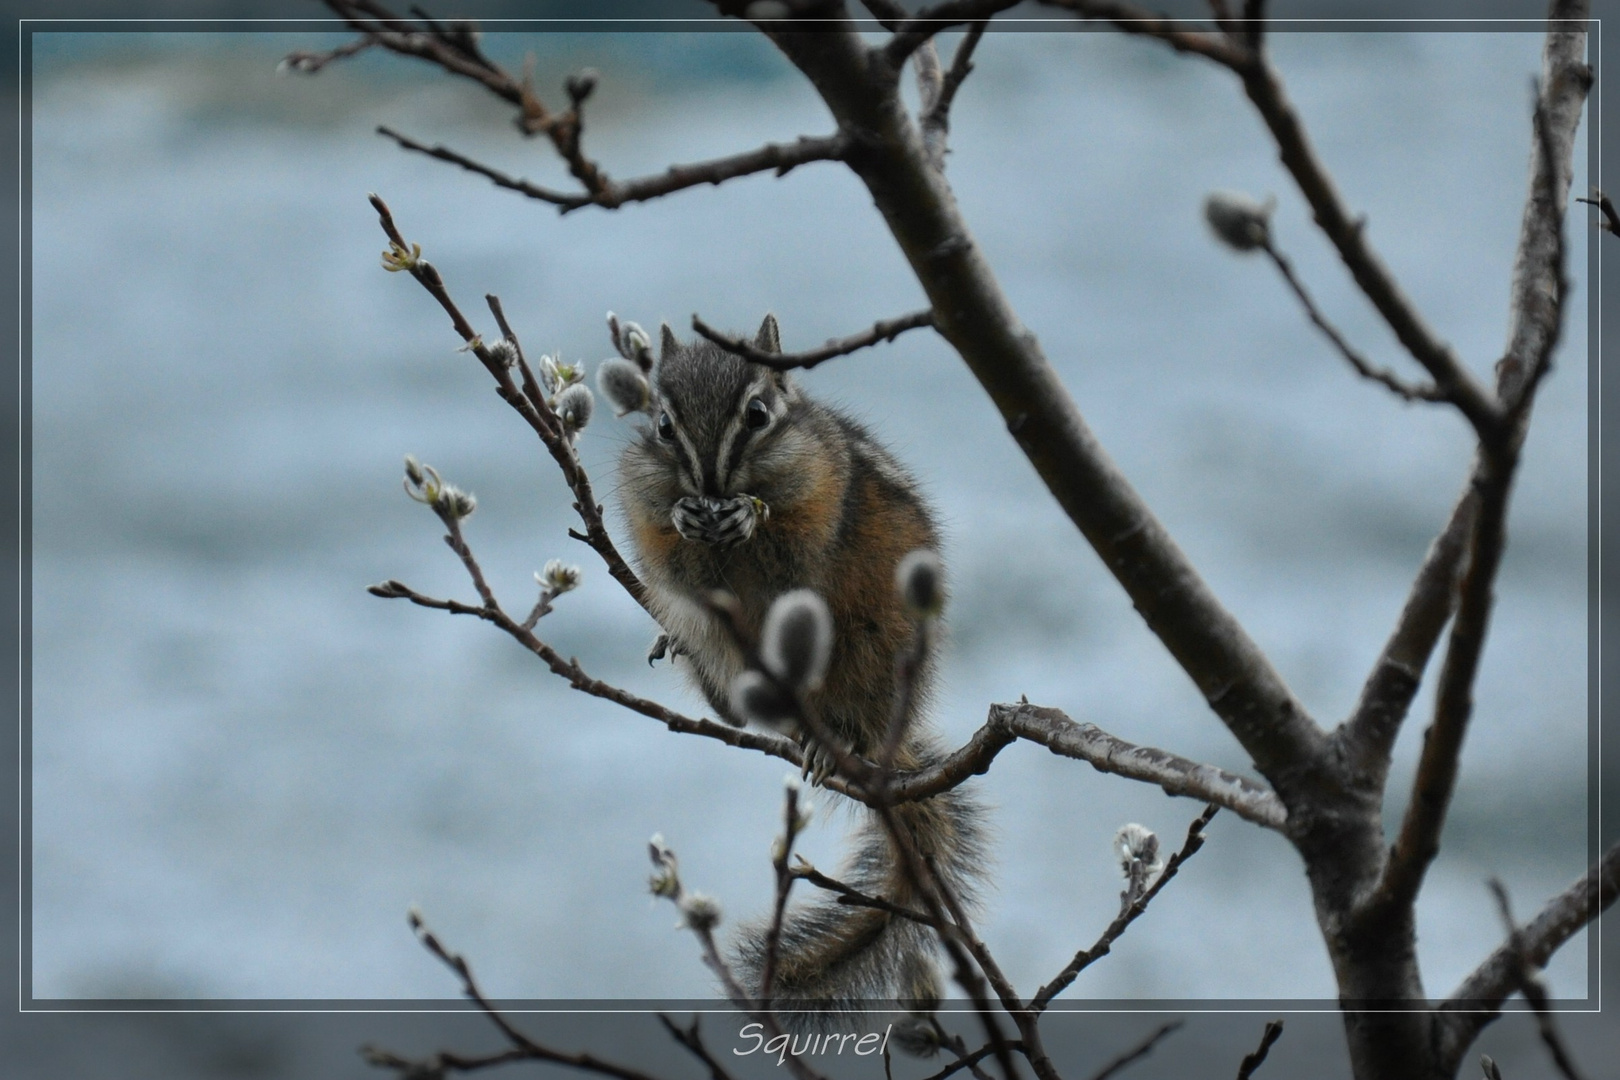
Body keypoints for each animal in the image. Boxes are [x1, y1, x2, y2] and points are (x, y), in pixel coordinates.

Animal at [609, 312, 984, 1029]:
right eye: (663, 425)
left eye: (758, 415)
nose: (710, 485)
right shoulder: (642, 495)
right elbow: (668, 553)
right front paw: (686, 518)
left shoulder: (818, 488)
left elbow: (792, 537)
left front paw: (747, 515)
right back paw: (688, 656)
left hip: (870, 655)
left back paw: (822, 742)